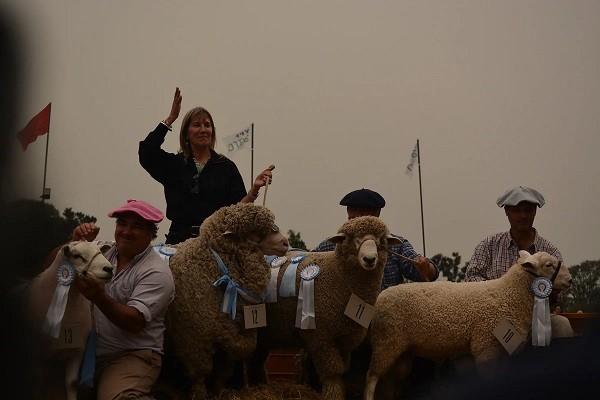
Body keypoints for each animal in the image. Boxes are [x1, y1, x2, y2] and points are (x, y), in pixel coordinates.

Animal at [22, 241, 114, 400]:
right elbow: (39, 382)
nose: (109, 269)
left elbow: (72, 382)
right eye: (76, 255)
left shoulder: (78, 349)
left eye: (100, 251)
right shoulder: (38, 353)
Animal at [162, 205, 288, 398]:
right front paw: (199, 395)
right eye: (253, 232)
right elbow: (200, 375)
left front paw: (221, 393)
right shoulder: (194, 340)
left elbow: (222, 374)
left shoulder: (228, 338)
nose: (285, 243)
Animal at [246, 216, 400, 400]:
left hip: (265, 333)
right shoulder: (320, 337)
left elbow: (341, 369)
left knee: (256, 361)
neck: (336, 273)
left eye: (380, 240)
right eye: (354, 238)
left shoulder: (343, 339)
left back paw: (259, 386)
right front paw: (334, 394)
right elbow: (332, 371)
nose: (369, 259)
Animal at [364, 250, 576, 400]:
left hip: (400, 353)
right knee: (371, 378)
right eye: (549, 265)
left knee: (387, 382)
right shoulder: (485, 348)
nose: (570, 280)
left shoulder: (501, 351)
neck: (508, 294)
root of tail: (380, 297)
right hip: (386, 341)